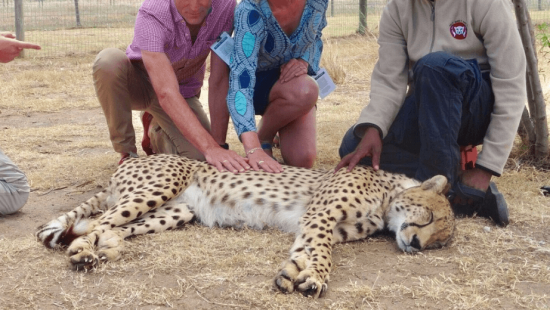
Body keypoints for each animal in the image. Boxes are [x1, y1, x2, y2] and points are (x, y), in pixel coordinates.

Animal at [35, 154, 458, 296]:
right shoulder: (320, 216)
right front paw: (316, 278)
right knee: (98, 221)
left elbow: (306, 249)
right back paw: (83, 253)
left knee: (113, 227)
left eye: (438, 242)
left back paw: (106, 249)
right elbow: (323, 254)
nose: (417, 245)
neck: (387, 197)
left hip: (177, 211)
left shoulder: (319, 225)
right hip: (159, 185)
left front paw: (294, 273)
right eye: (431, 218)